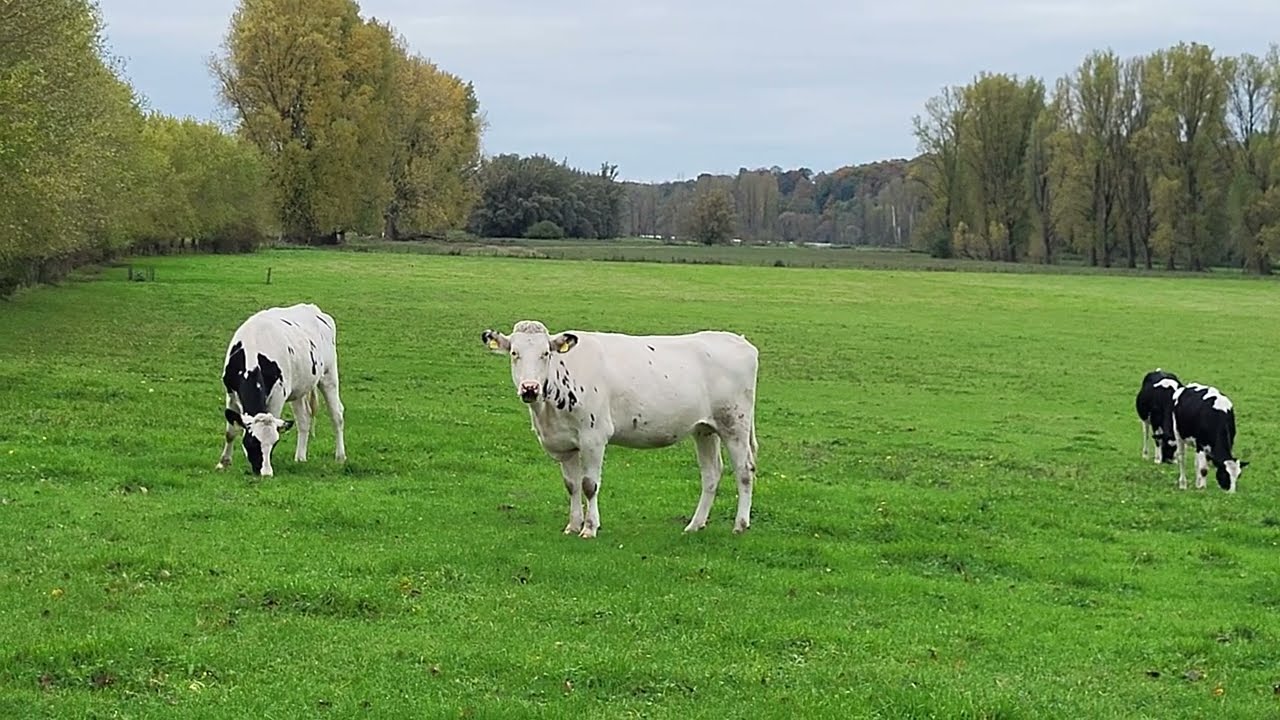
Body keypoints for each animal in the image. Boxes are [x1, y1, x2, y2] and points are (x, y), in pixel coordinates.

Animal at [216, 303, 347, 476]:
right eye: (251, 442)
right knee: (303, 419)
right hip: (299, 388)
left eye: (274, 443)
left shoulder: (278, 395)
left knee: (336, 415)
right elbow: (230, 432)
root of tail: (313, 308)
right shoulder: (230, 393)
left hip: (329, 376)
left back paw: (340, 456)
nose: (265, 474)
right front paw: (223, 463)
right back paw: (300, 457)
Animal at [480, 320, 759, 538]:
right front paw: (572, 525)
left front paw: (589, 528)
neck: (548, 411)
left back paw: (740, 524)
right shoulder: (564, 444)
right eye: (514, 353)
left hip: (735, 423)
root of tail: (740, 341)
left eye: (545, 353)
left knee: (744, 470)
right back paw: (695, 525)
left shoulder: (594, 437)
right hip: (705, 429)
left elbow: (589, 484)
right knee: (711, 473)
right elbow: (571, 485)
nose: (530, 388)